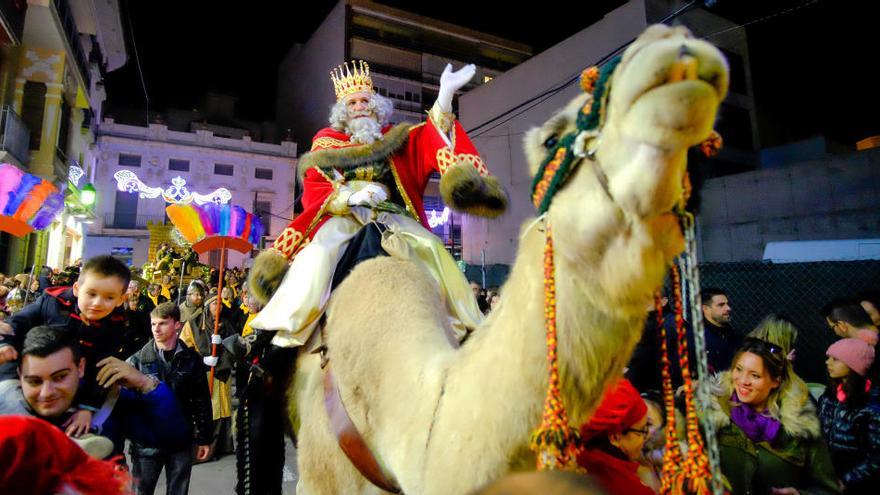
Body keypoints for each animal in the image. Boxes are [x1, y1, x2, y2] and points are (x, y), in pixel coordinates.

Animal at [288, 26, 728, 495]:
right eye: (551, 138)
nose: (673, 49)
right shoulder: (317, 476)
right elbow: (324, 187)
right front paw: (359, 192)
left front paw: (446, 96)